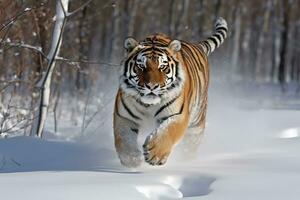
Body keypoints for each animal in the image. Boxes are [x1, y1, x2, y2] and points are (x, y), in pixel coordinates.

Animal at [112, 17, 227, 167]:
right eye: (141, 66)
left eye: (163, 67)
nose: (151, 86)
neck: (149, 105)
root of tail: (197, 45)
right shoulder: (124, 117)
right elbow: (123, 139)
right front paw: (132, 159)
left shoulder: (178, 114)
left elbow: (168, 131)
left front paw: (154, 154)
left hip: (196, 124)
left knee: (190, 146)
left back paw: (188, 161)